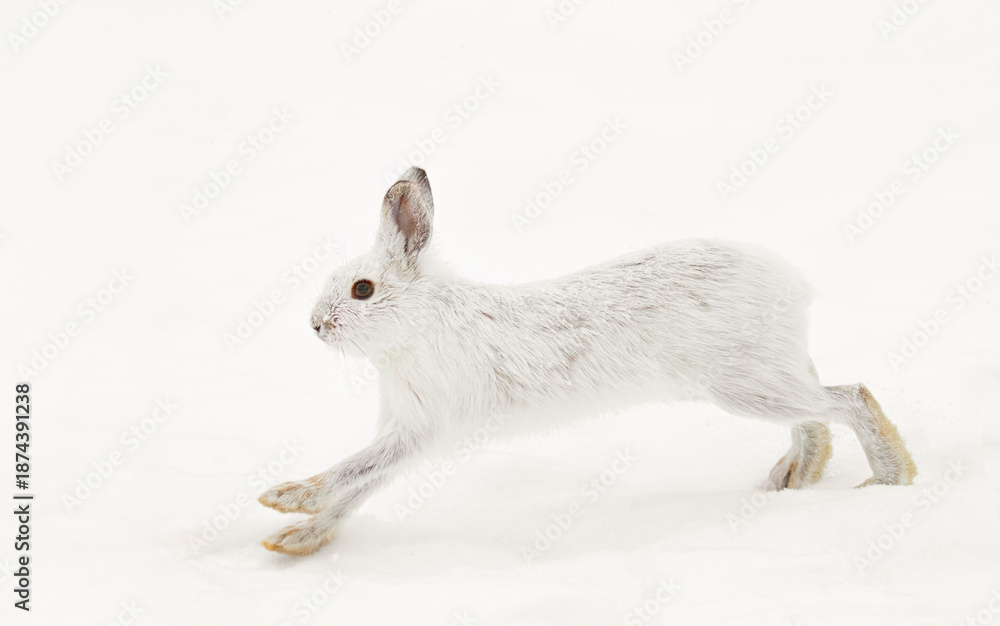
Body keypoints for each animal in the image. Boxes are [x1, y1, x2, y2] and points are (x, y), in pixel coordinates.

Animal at [257, 167, 916, 556]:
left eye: (362, 290)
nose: (315, 326)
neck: (419, 320)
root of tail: (793, 286)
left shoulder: (423, 427)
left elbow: (352, 471)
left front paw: (285, 499)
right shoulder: (405, 431)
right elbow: (361, 486)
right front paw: (296, 539)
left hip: (746, 384)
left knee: (850, 397)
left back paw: (890, 480)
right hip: (766, 376)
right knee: (817, 418)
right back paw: (792, 480)